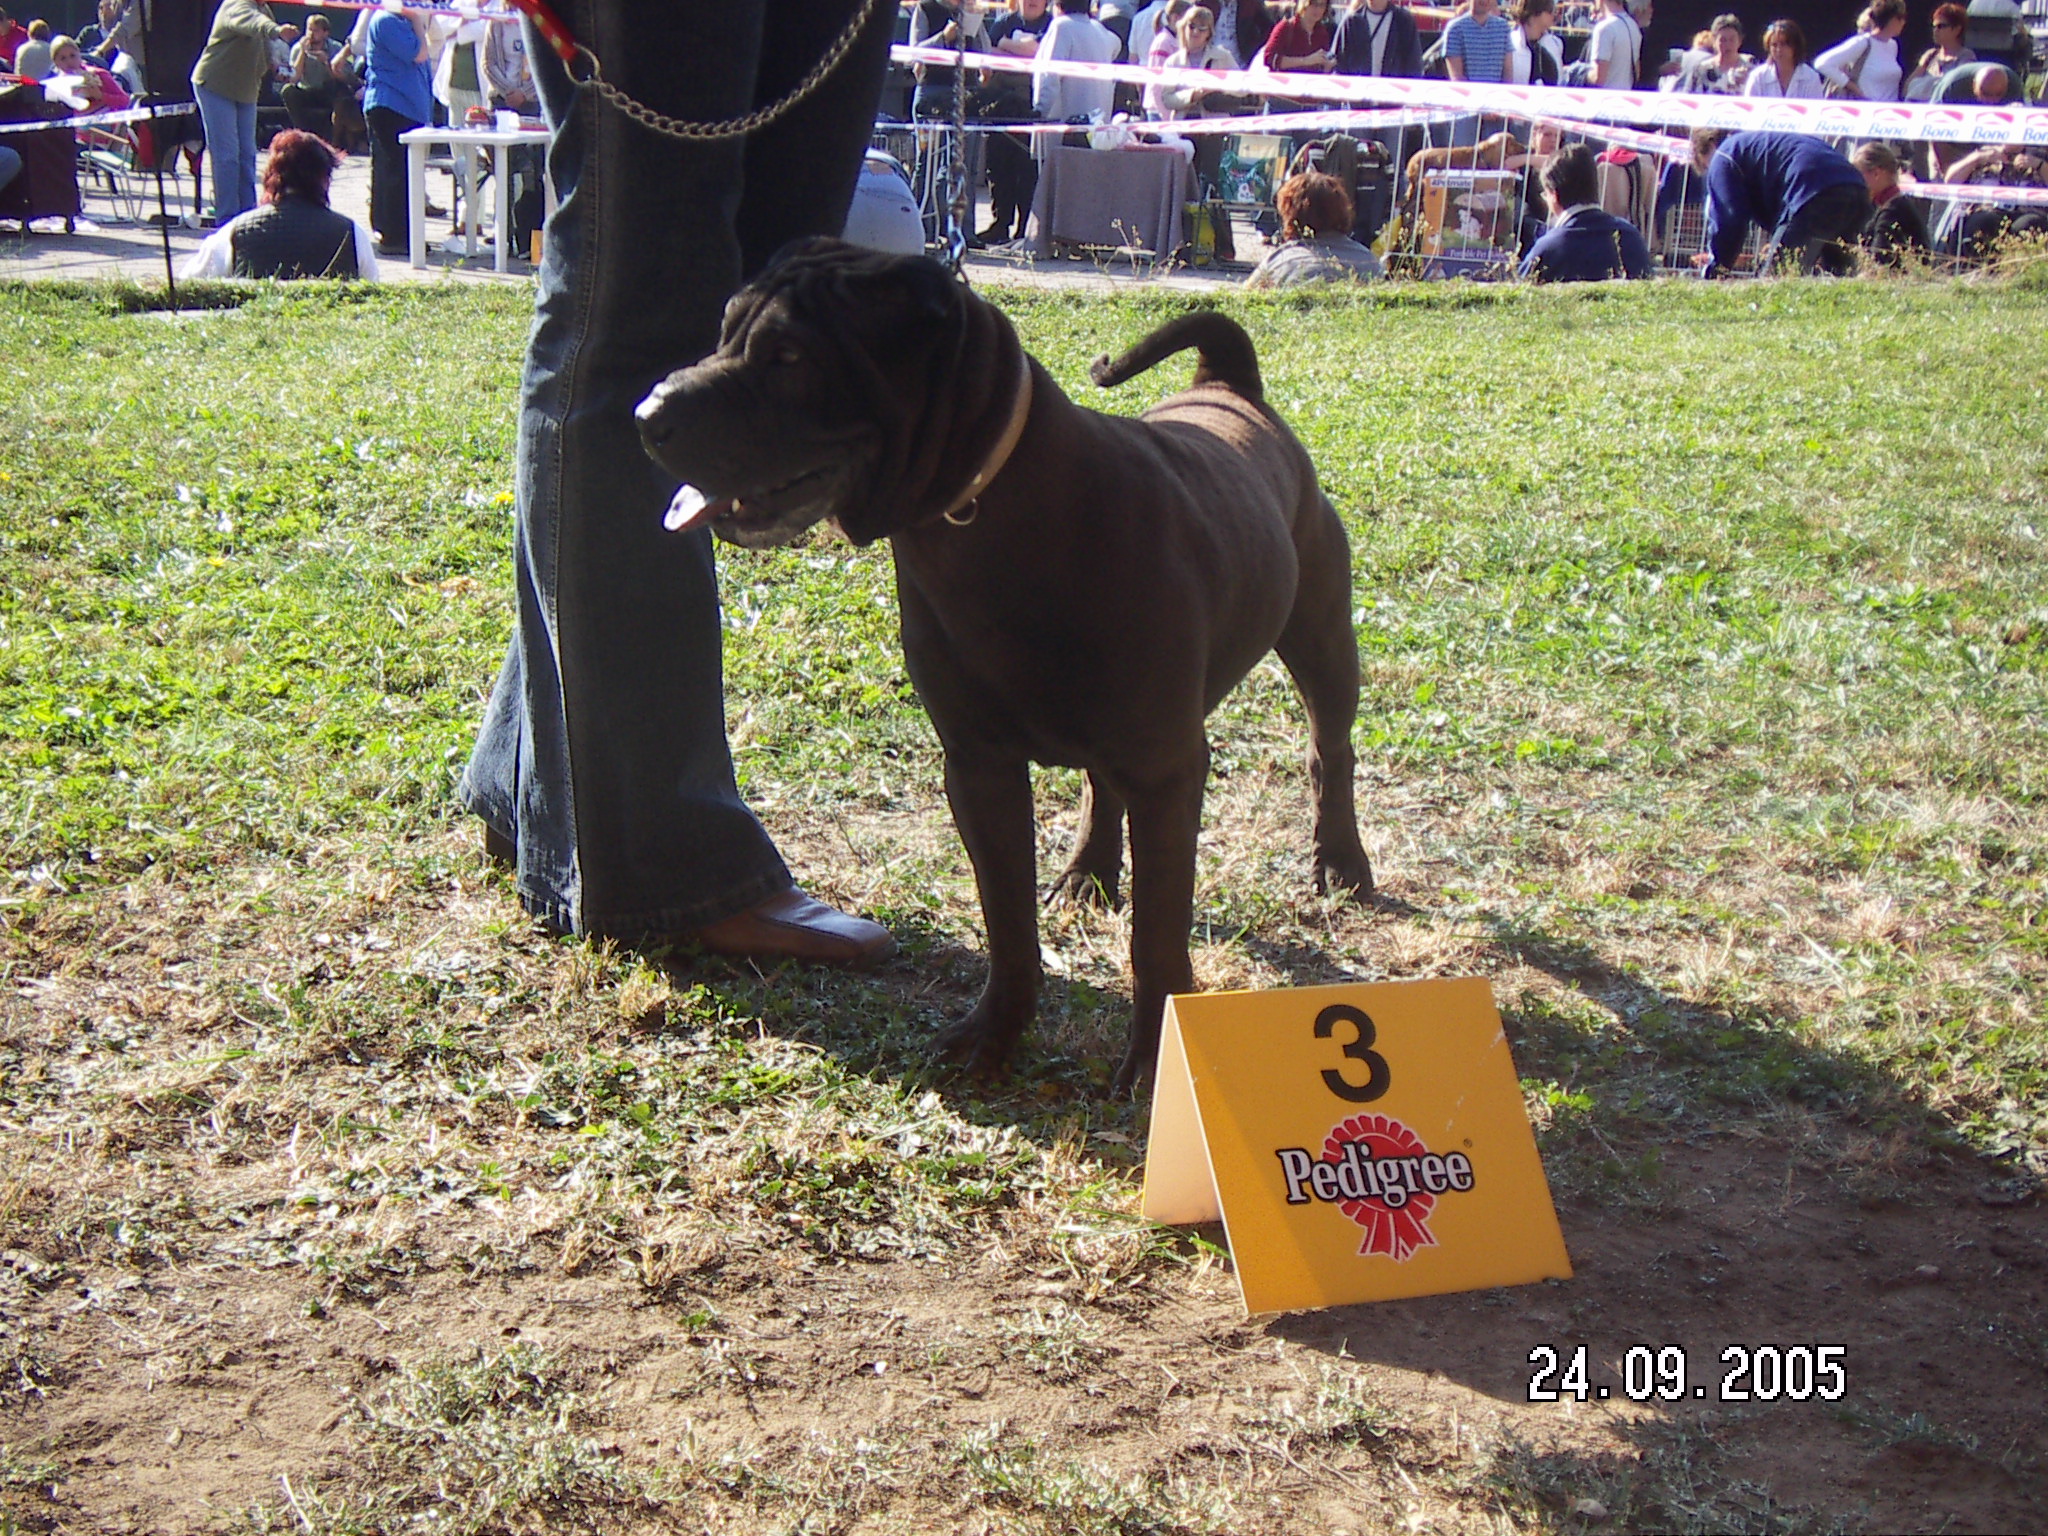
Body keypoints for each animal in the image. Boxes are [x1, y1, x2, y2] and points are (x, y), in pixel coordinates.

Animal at [638, 240, 1376, 1097]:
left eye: (790, 356)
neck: (987, 519)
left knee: (1330, 749)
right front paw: (994, 1034)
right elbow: (1008, 919)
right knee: (1101, 788)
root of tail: (1230, 388)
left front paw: (1153, 1063)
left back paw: (1341, 860)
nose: (646, 415)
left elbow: (1157, 935)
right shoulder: (978, 765)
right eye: (723, 333)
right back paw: (1089, 872)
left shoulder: (1166, 766)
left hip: (1321, 635)